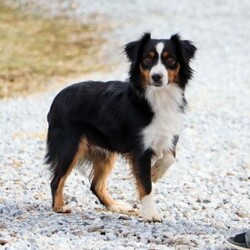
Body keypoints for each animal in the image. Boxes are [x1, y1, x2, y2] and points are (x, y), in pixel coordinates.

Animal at [45, 32, 197, 222]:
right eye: (147, 59)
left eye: (170, 59)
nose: (156, 77)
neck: (158, 97)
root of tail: (57, 98)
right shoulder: (140, 149)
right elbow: (146, 185)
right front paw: (150, 213)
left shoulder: (169, 134)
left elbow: (170, 157)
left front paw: (155, 172)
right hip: (71, 146)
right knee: (56, 180)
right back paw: (59, 207)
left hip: (105, 152)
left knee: (96, 185)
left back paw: (116, 206)